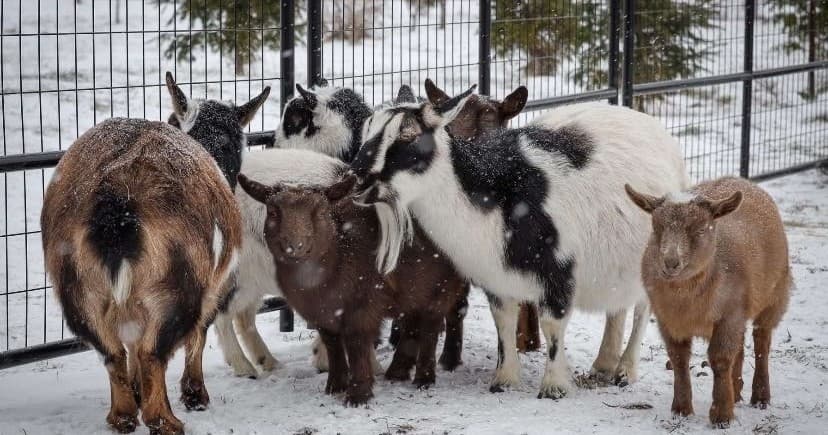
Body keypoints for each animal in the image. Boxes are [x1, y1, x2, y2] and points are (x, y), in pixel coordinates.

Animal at [40, 73, 267, 434]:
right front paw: (195, 395)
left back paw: (123, 414)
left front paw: (138, 392)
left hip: (76, 285)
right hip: (177, 282)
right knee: (153, 351)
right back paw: (165, 420)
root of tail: (115, 201)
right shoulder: (213, 284)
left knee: (113, 350)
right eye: (236, 142)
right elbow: (200, 330)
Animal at [237, 174, 467, 405]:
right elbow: (333, 346)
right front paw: (335, 386)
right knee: (413, 322)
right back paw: (398, 372)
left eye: (321, 212)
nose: (295, 246)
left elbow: (356, 345)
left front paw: (358, 394)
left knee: (432, 323)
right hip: (414, 287)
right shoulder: (323, 315)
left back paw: (425, 377)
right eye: (273, 212)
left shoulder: (363, 305)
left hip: (443, 284)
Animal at [350, 85, 689, 399]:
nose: (356, 179)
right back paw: (603, 365)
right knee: (616, 308)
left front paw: (554, 387)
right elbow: (503, 322)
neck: (499, 195)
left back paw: (624, 370)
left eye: (408, 135)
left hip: (653, 255)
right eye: (367, 129)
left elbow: (552, 325)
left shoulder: (559, 270)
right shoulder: (496, 277)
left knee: (642, 309)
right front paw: (504, 380)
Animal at [626, 177, 791, 428]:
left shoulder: (729, 313)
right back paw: (737, 391)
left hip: (775, 294)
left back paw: (760, 397)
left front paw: (721, 415)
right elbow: (678, 358)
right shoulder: (668, 319)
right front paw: (681, 409)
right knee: (740, 346)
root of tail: (741, 180)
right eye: (655, 228)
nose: (670, 263)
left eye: (701, 229)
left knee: (762, 341)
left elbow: (720, 358)